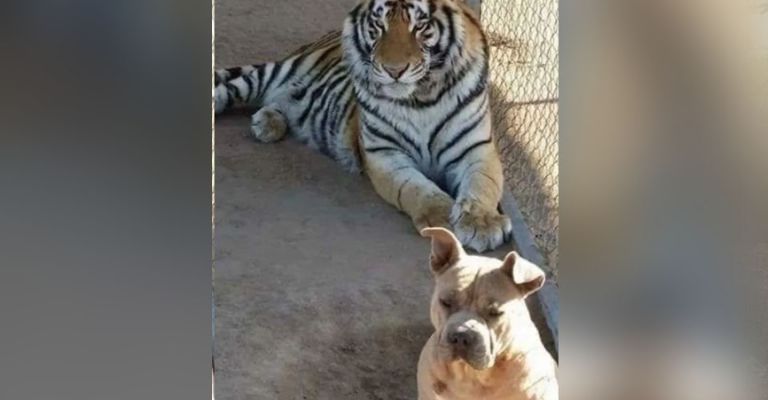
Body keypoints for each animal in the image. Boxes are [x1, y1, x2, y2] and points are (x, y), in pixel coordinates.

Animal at [214, 0, 512, 252]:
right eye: (379, 26)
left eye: (420, 26)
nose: (394, 70)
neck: (422, 98)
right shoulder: (384, 154)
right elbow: (416, 188)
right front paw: (443, 218)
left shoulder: (476, 149)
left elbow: (483, 184)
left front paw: (482, 224)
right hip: (269, 75)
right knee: (229, 89)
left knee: (277, 101)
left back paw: (268, 123)